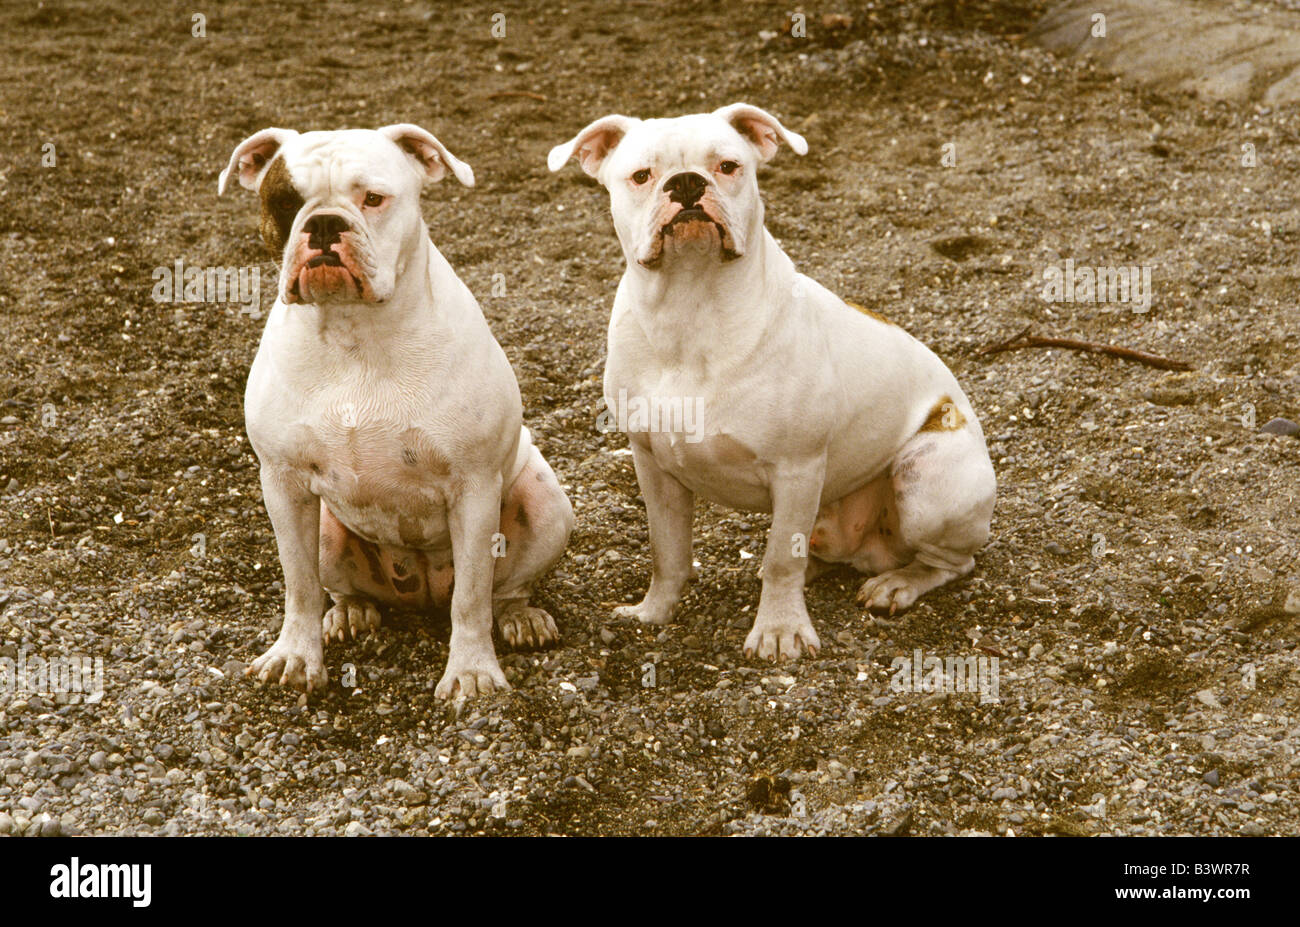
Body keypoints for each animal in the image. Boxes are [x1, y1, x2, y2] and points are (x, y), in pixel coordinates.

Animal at [219, 126, 574, 696]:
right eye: (286, 201)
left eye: (373, 199)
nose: (324, 223)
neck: (354, 330)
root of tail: (421, 587)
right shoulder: (285, 486)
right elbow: (299, 583)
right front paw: (296, 655)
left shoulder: (473, 488)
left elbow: (471, 596)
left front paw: (472, 671)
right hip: (326, 528)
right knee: (337, 587)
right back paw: (351, 611)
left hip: (545, 506)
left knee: (501, 591)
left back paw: (520, 617)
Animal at [548, 104, 993, 660]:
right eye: (642, 176)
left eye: (728, 166)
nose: (687, 182)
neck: (690, 304)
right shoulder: (653, 466)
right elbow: (667, 550)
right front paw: (654, 612)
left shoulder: (796, 469)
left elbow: (782, 557)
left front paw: (780, 631)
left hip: (926, 479)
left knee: (952, 562)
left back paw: (899, 583)